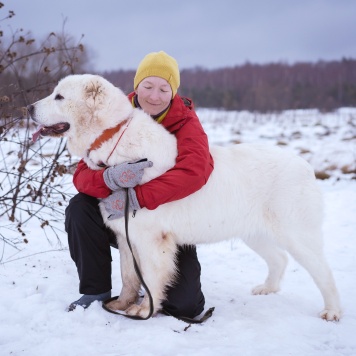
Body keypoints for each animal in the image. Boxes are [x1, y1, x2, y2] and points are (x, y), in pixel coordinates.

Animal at [28, 73, 342, 322]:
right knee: (278, 259)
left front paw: (144, 310)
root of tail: (304, 164)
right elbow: (129, 276)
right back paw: (268, 288)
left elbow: (151, 277)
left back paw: (332, 311)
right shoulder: (126, 237)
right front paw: (122, 303)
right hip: (255, 233)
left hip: (296, 234)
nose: (28, 107)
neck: (113, 136)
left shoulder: (151, 240)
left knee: (324, 272)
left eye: (59, 96)